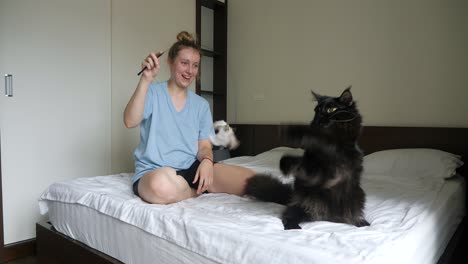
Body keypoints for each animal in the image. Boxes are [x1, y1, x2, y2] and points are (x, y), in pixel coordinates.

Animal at [245, 86, 370, 229]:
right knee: (289, 215)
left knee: (351, 215)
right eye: (317, 111)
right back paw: (293, 227)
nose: (319, 119)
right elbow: (313, 139)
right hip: (304, 202)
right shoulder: (314, 167)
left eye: (331, 109)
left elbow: (321, 140)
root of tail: (329, 217)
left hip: (356, 197)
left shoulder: (339, 149)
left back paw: (361, 223)